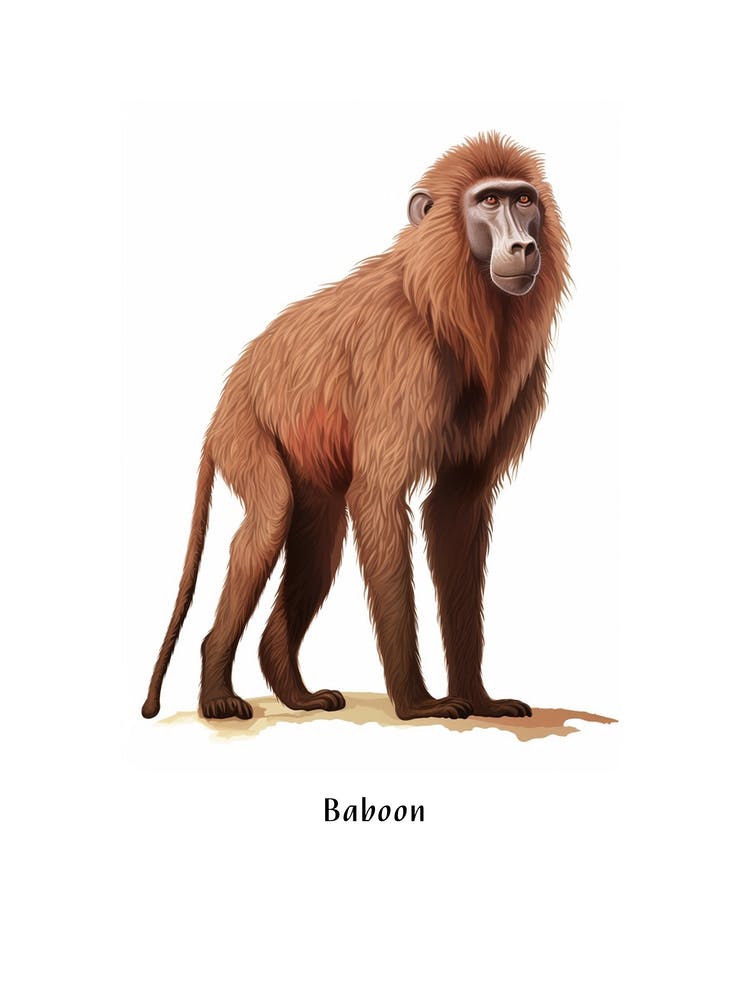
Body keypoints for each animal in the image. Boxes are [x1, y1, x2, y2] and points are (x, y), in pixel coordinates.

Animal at [142, 132, 570, 722]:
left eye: (523, 200)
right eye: (488, 202)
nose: (524, 246)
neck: (448, 304)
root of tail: (230, 391)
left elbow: (456, 506)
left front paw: (480, 699)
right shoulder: (405, 355)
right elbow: (379, 495)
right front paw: (418, 704)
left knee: (317, 535)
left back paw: (293, 691)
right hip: (243, 431)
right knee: (272, 516)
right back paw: (217, 693)